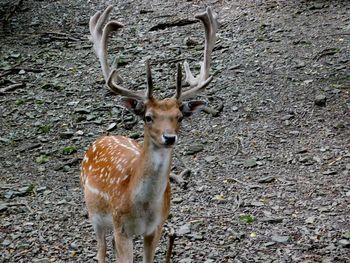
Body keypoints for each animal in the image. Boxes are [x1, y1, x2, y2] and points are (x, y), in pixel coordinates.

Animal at [80, 4, 217, 263]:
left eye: (179, 117)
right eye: (148, 116)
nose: (169, 137)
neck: (142, 208)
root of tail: (102, 138)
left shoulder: (157, 228)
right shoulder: (121, 228)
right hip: (94, 214)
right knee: (100, 249)